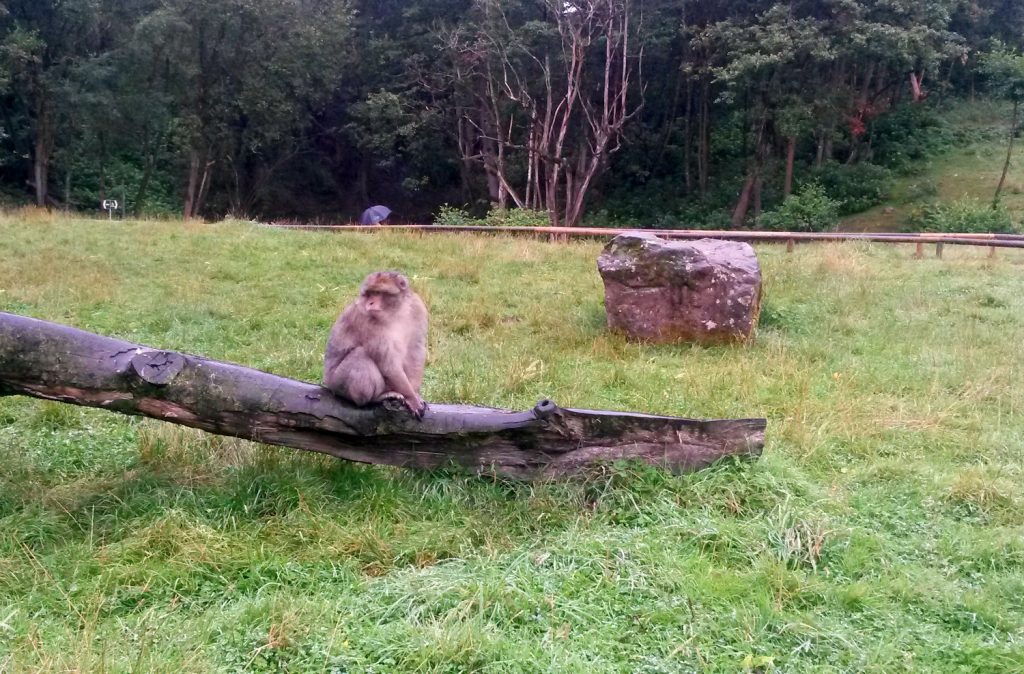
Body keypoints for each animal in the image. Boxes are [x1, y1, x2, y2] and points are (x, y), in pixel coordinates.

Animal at [323, 271, 428, 419]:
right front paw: (411, 397)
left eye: (378, 292)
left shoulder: (417, 307)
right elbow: (387, 363)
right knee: (361, 355)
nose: (370, 302)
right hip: (337, 383)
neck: (394, 312)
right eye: (369, 293)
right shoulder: (365, 318)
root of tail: (327, 382)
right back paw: (376, 398)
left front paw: (415, 393)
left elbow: (415, 350)